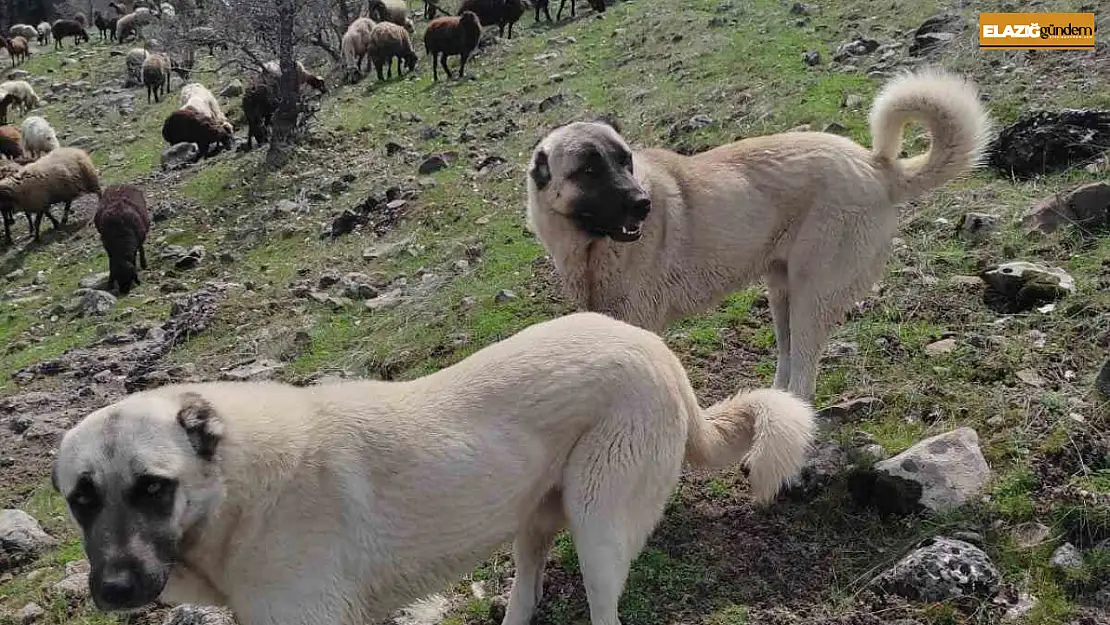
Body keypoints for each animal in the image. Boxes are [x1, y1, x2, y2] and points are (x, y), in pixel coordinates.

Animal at [52, 315, 816, 625]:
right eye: (81, 499)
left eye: (153, 487)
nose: (114, 589)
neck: (239, 490)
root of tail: (660, 351)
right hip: (533, 515)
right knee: (527, 589)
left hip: (598, 529)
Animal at [523, 68, 994, 401]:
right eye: (588, 169)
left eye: (625, 161)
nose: (643, 204)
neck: (590, 246)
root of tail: (875, 167)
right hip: (781, 293)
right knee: (787, 360)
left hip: (812, 295)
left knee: (804, 374)